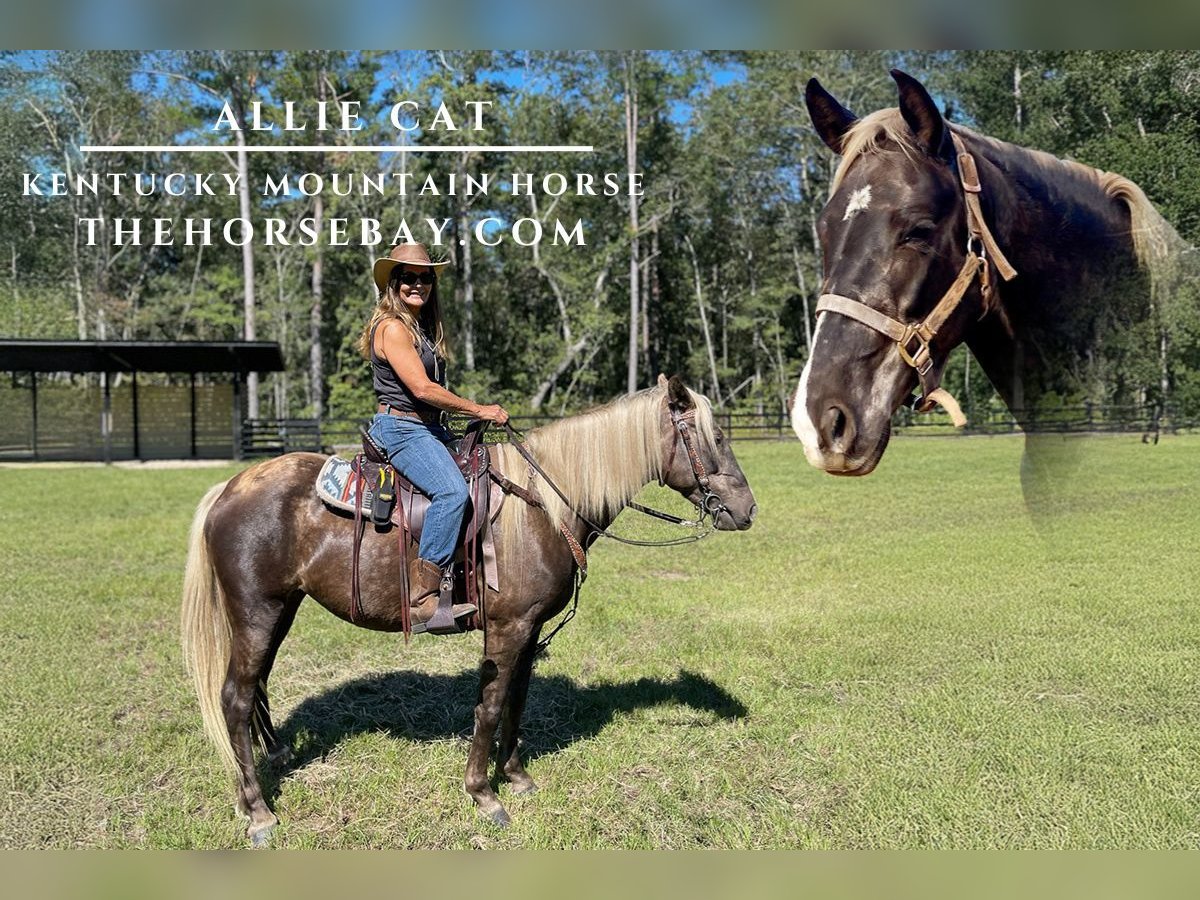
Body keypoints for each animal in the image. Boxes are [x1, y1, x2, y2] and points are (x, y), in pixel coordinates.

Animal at [181, 376, 753, 849]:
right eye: (715, 438)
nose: (747, 510)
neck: (542, 503)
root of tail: (228, 488)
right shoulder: (507, 628)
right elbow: (491, 706)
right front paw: (483, 794)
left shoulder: (530, 629)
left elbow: (517, 702)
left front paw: (516, 776)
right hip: (256, 611)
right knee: (234, 698)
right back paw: (257, 811)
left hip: (281, 609)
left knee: (257, 686)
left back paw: (277, 756)